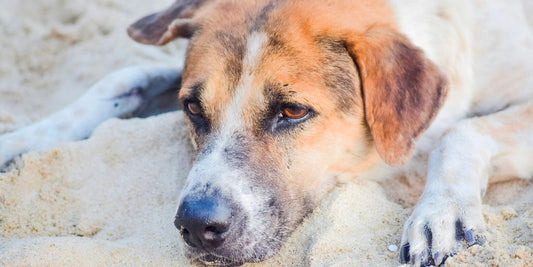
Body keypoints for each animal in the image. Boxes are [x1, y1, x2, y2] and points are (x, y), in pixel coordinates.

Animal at [1, 0, 532, 266]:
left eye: (293, 111)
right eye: (192, 108)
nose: (196, 225)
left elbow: (460, 132)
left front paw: (440, 212)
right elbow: (123, 76)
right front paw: (18, 141)